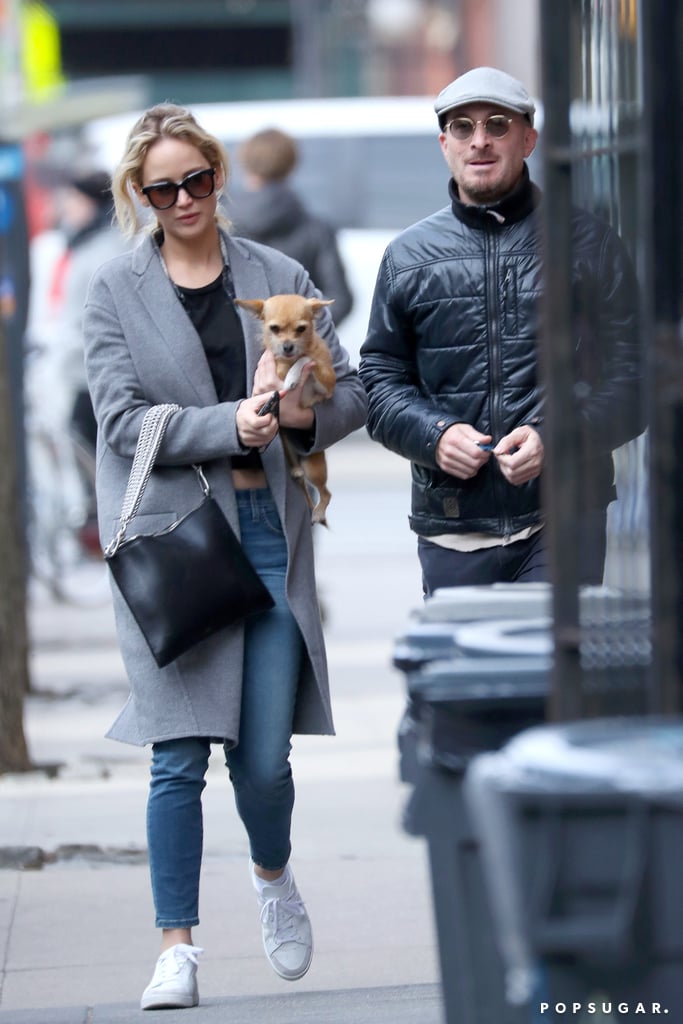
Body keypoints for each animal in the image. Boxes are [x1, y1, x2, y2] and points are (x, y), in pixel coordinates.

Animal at [236, 292, 337, 524]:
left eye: (301, 329)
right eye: (274, 329)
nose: (288, 346)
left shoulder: (327, 385)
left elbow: (307, 359)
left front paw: (292, 376)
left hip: (313, 467)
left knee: (326, 493)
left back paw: (318, 512)